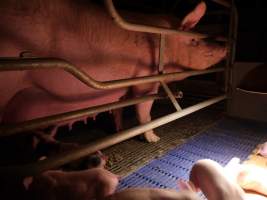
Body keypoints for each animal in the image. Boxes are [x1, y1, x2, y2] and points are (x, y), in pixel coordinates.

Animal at [0, 1, 227, 142]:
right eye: (194, 40)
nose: (224, 45)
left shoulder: (121, 86)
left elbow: (118, 108)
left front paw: (119, 131)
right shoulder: (145, 79)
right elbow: (144, 110)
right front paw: (154, 139)